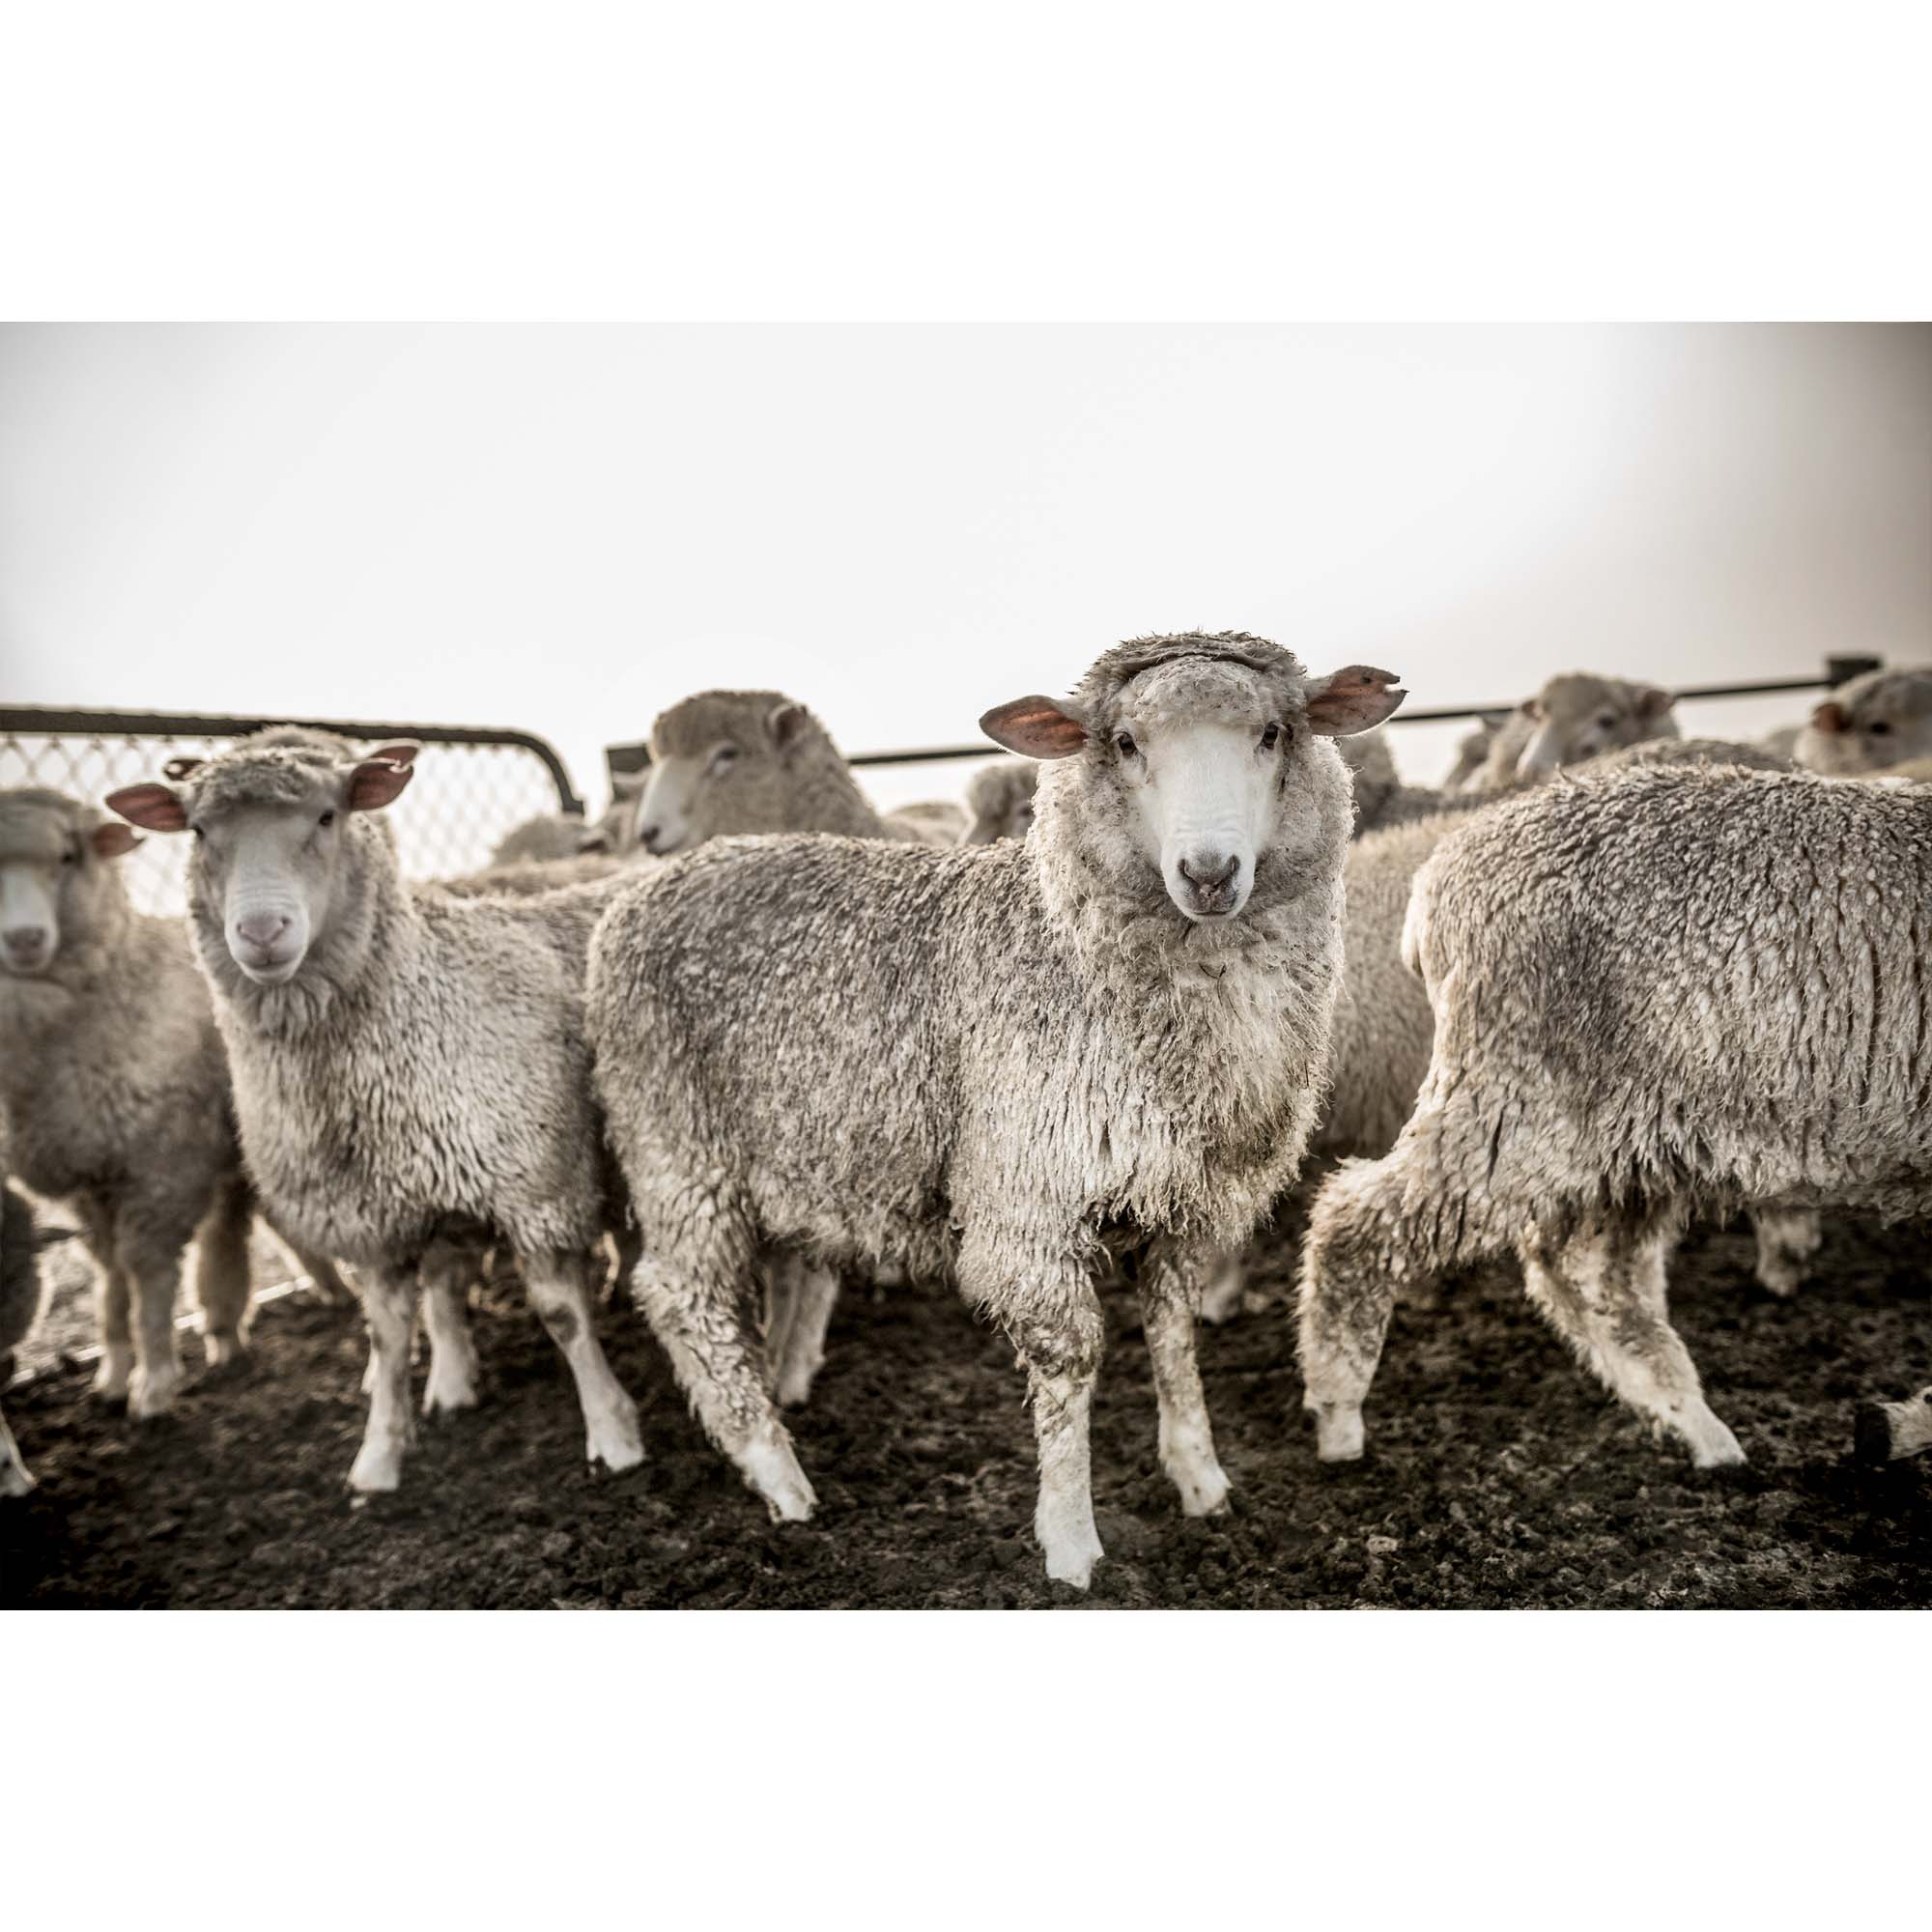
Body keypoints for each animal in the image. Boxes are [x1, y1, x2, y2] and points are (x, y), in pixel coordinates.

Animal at [0, 785, 351, 1419]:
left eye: (67, 856)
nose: (23, 940)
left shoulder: (161, 1164)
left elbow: (147, 1271)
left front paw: (155, 1379)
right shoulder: (91, 1179)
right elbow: (110, 1273)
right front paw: (114, 1369)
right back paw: (257, 1318)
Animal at [106, 741, 645, 1493]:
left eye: (328, 816)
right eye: (199, 831)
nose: (262, 931)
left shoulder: (537, 1189)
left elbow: (563, 1318)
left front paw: (613, 1434)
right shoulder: (375, 1219)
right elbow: (388, 1339)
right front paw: (379, 1455)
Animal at [586, 632, 1404, 1586]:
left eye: (1274, 733)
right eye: (1125, 742)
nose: (1209, 873)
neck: (1063, 938)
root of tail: (633, 899)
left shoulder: (1177, 1200)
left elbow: (1172, 1335)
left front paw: (1202, 1480)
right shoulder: (1027, 1202)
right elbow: (1069, 1361)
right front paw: (1071, 1543)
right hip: (677, 1144)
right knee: (683, 1297)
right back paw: (778, 1476)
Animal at [1297, 760, 1932, 1471]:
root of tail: (1439, 877)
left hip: (1629, 1139)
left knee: (1589, 1277)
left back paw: (1693, 1422)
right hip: (1521, 1097)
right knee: (1355, 1221)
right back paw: (1338, 1412)